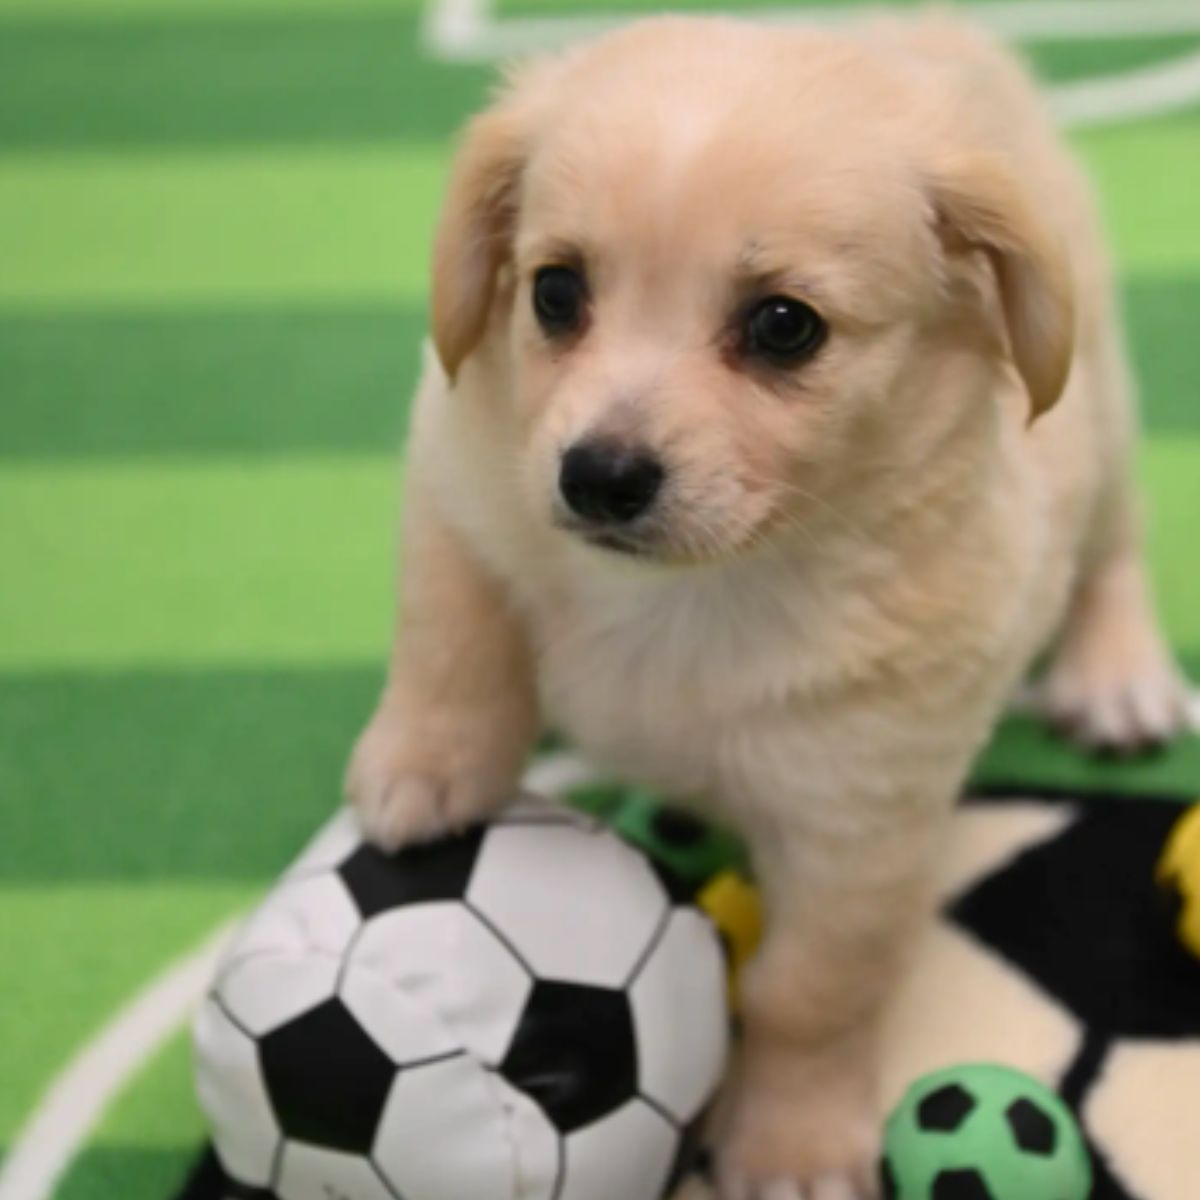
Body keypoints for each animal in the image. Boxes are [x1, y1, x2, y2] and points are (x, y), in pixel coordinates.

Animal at [348, 11, 1190, 1200]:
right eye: (555, 292)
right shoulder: (462, 473)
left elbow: (807, 997)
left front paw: (789, 1143)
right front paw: (429, 768)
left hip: (1104, 415)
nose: (598, 477)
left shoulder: (858, 831)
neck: (701, 593)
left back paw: (1117, 677)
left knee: (1114, 551)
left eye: (785, 326)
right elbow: (453, 625)